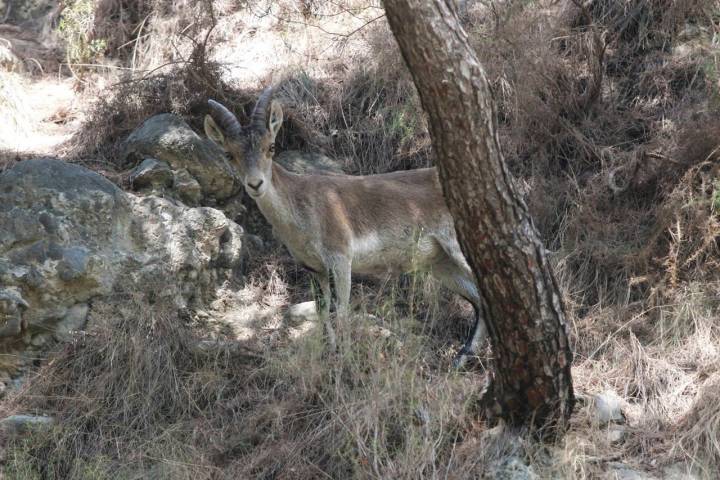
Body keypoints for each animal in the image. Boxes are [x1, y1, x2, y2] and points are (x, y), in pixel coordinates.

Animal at [204, 88, 484, 368]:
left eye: (270, 147)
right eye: (230, 154)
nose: (255, 184)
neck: (303, 206)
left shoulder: (340, 258)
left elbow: (342, 310)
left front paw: (347, 359)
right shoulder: (314, 268)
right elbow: (322, 310)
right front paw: (329, 352)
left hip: (458, 250)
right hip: (441, 264)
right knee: (479, 299)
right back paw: (461, 359)